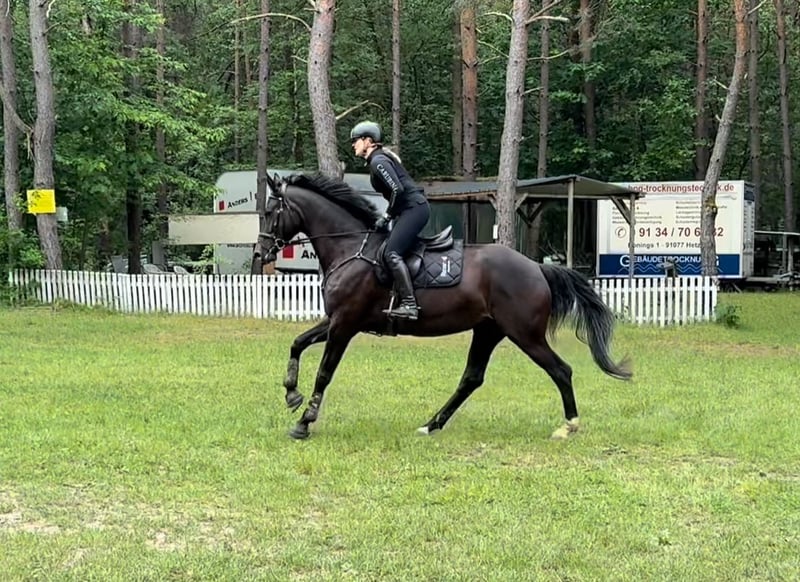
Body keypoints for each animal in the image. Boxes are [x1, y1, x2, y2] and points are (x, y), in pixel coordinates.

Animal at [253, 173, 631, 440]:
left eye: (270, 212)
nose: (259, 253)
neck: (350, 247)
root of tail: (537, 267)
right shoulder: (338, 320)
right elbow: (297, 343)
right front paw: (291, 394)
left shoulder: (345, 324)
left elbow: (324, 372)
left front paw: (304, 422)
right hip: (489, 330)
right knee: (472, 378)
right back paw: (431, 424)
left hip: (525, 334)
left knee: (560, 370)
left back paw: (569, 426)